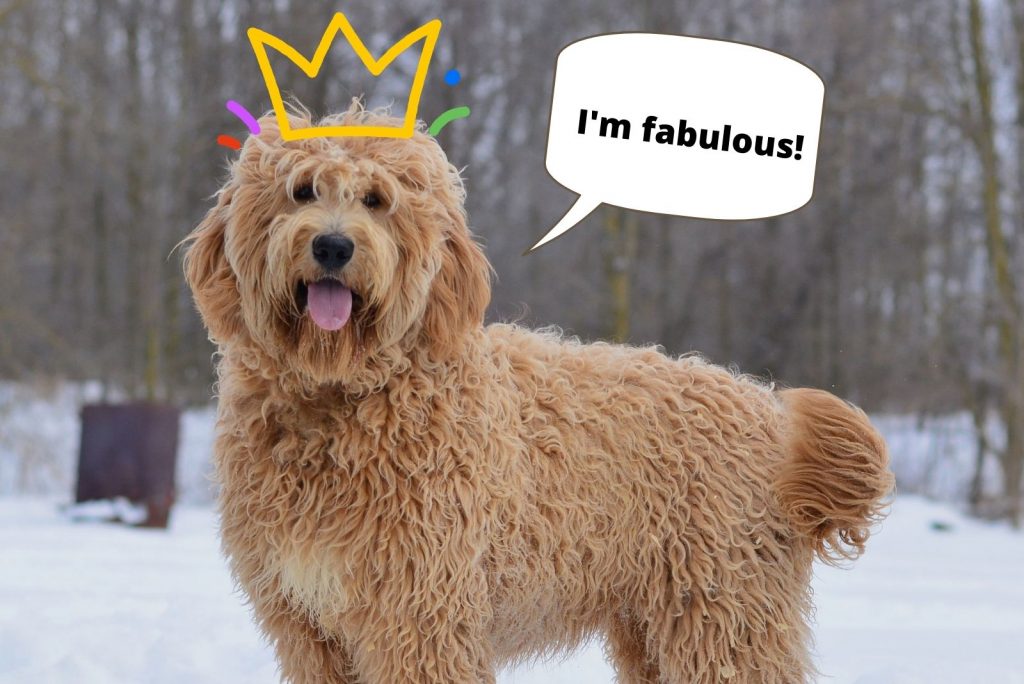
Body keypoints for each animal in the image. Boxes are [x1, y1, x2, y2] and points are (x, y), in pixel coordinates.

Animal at [188, 104, 892, 679]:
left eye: (376, 200)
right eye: (302, 190)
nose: (333, 245)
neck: (342, 398)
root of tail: (767, 413)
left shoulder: (420, 616)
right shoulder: (307, 627)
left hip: (725, 614)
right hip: (654, 625)